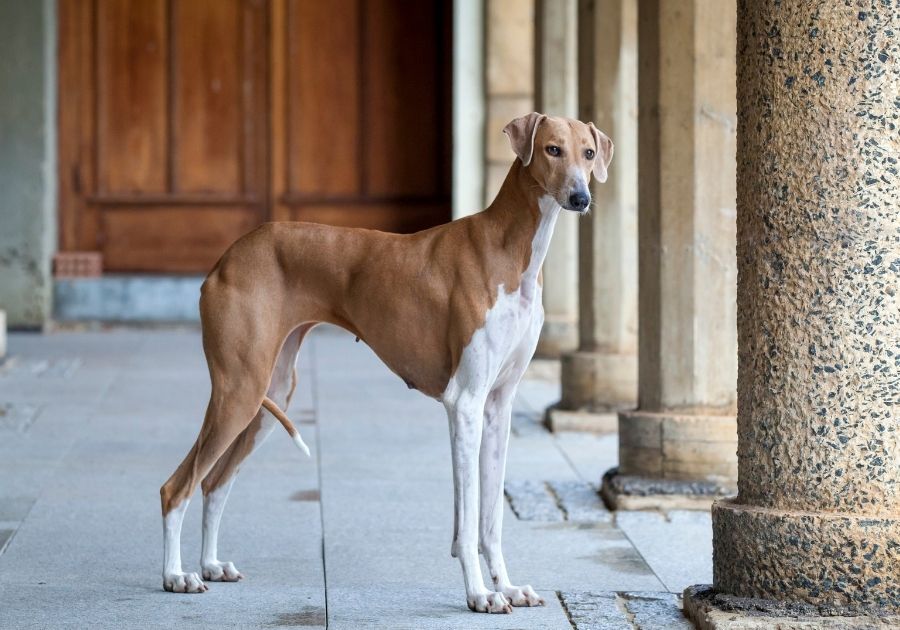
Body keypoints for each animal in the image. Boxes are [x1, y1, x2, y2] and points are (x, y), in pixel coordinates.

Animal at [160, 111, 612, 616]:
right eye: (552, 149)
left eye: (588, 153)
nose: (581, 197)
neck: (511, 249)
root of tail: (227, 257)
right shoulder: (466, 404)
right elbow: (468, 519)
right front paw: (480, 594)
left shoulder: (498, 407)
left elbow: (491, 517)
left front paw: (508, 587)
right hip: (239, 392)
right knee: (177, 486)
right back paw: (176, 576)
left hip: (268, 397)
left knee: (215, 482)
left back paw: (210, 565)